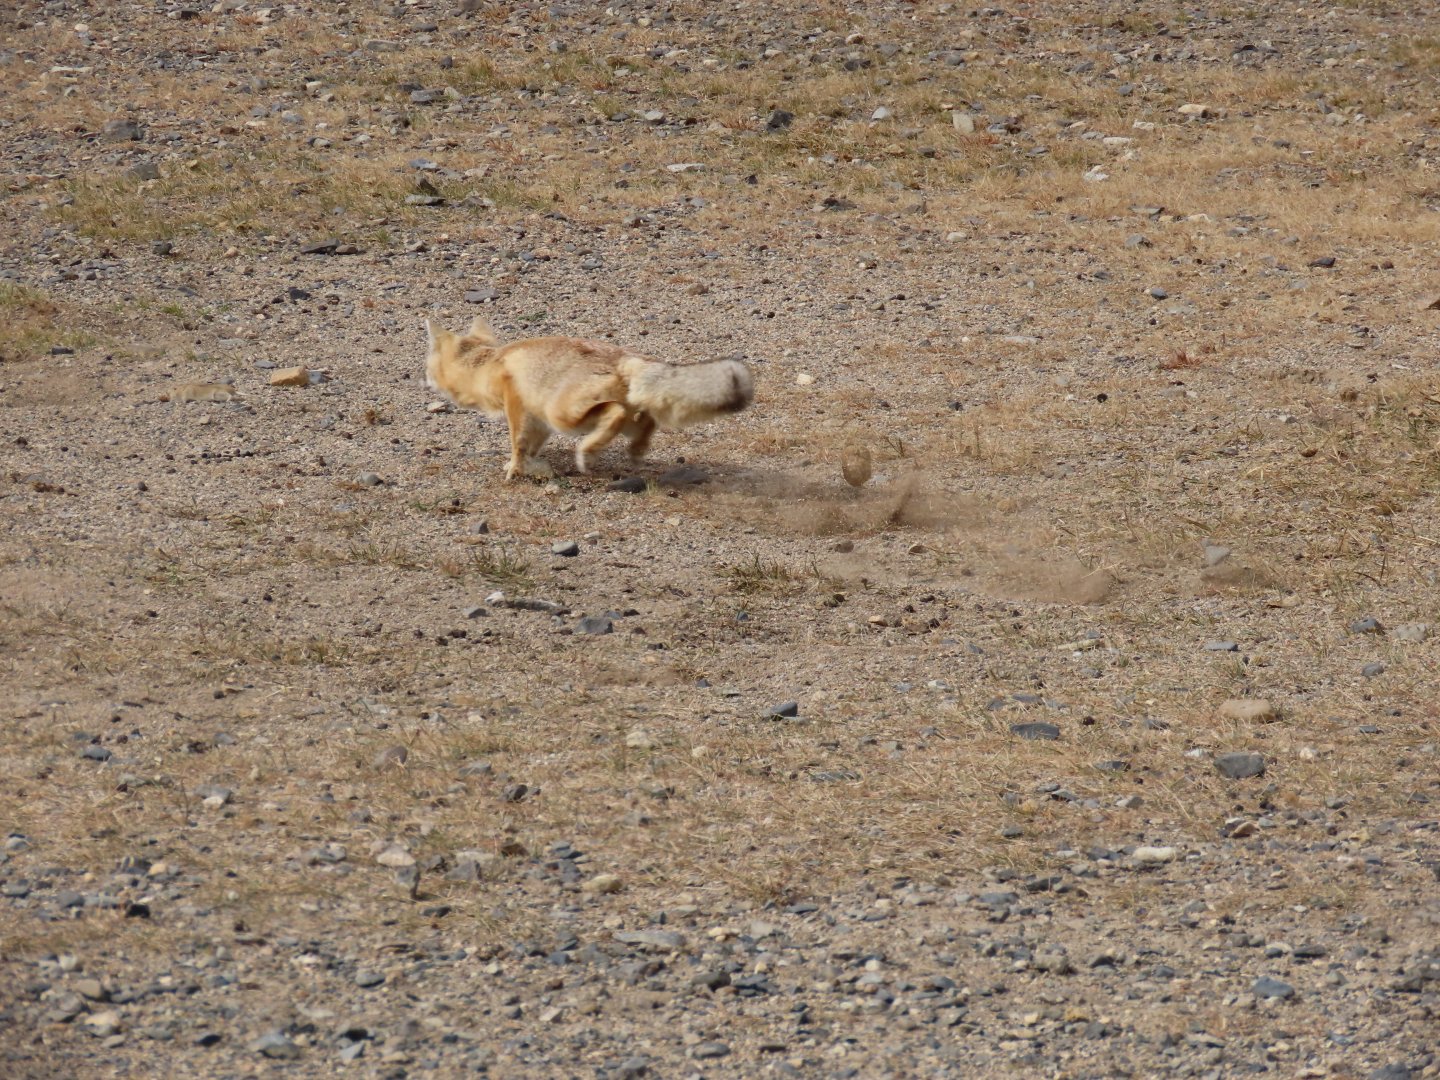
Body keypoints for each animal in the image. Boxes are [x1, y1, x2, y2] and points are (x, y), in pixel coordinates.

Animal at [423, 315, 754, 481]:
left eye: (428, 364)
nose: (423, 379)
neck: (487, 363)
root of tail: (624, 357)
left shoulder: (517, 403)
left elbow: (518, 442)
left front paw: (515, 469)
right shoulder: (538, 418)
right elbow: (532, 444)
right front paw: (527, 464)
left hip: (563, 415)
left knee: (615, 415)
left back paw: (587, 453)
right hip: (600, 414)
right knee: (645, 421)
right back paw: (635, 451)